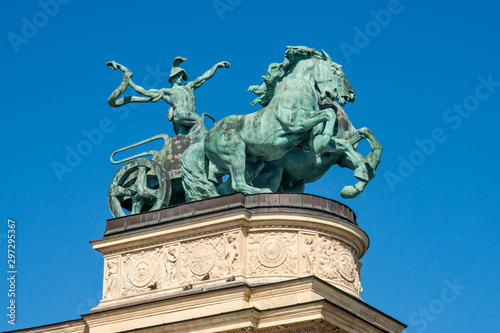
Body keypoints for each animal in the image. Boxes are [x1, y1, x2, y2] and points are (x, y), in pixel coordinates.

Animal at [182, 45, 366, 198]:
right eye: (337, 71)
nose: (351, 95)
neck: (294, 91)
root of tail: (205, 139)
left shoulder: (306, 141)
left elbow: (342, 142)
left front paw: (361, 171)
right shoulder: (296, 121)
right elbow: (329, 113)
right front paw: (324, 139)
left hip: (253, 164)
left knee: (225, 188)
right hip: (235, 154)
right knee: (238, 183)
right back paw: (262, 191)